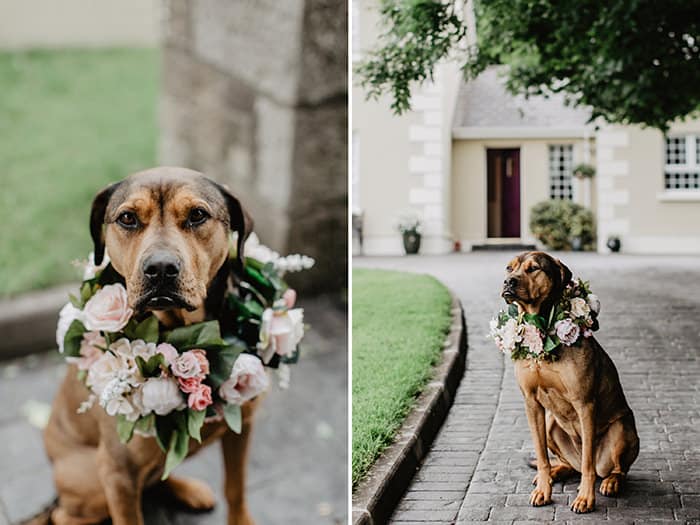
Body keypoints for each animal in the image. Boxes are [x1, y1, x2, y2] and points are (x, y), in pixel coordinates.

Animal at [37, 167, 258, 524]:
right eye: (127, 218)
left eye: (198, 215)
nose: (161, 268)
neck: (185, 333)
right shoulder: (117, 473)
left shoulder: (243, 428)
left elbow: (235, 489)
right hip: (93, 480)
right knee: (65, 516)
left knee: (156, 477)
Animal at [500, 252, 636, 512]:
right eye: (509, 268)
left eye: (533, 268)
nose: (508, 282)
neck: (541, 323)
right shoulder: (531, 402)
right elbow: (542, 456)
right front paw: (543, 490)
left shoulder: (585, 403)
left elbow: (587, 464)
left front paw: (585, 498)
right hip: (551, 424)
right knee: (570, 464)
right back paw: (556, 471)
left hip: (621, 429)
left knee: (612, 468)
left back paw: (611, 482)